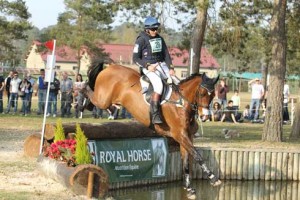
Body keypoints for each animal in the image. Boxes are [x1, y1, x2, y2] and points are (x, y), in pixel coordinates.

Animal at [83, 59, 221, 198]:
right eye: (202, 93)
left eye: (213, 95)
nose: (205, 117)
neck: (181, 104)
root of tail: (110, 67)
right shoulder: (179, 134)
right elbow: (197, 155)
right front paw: (213, 178)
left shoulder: (187, 136)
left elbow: (187, 160)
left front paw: (189, 188)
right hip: (103, 100)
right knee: (92, 93)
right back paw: (83, 91)